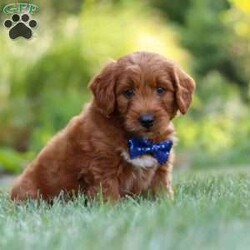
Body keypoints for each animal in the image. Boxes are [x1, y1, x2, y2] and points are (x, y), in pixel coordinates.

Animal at [10, 51, 195, 202]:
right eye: (128, 92)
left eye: (161, 90)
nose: (147, 120)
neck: (139, 140)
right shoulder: (103, 166)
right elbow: (108, 195)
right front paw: (110, 209)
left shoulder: (161, 166)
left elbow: (162, 191)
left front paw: (168, 204)